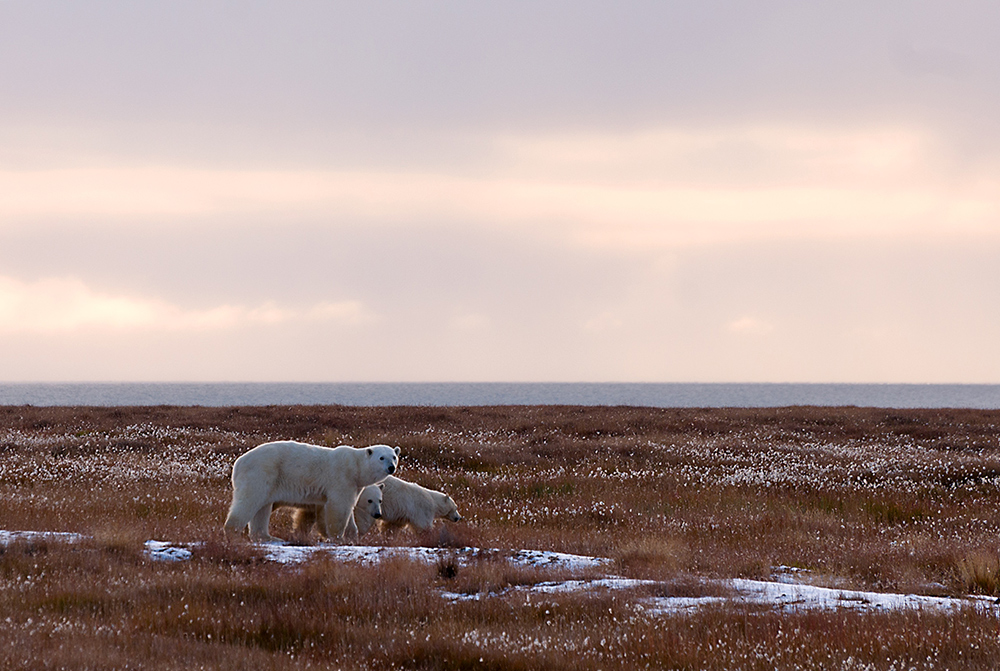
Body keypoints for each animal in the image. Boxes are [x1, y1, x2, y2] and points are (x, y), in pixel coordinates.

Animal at [225, 440, 400, 544]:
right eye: (381, 458)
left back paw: (269, 537)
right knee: (249, 501)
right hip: (262, 472)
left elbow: (348, 509)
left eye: (394, 456)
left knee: (262, 508)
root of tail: (238, 463)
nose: (391, 467)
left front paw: (351, 536)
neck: (355, 467)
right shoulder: (342, 479)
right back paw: (232, 532)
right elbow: (339, 508)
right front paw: (338, 538)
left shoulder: (354, 486)